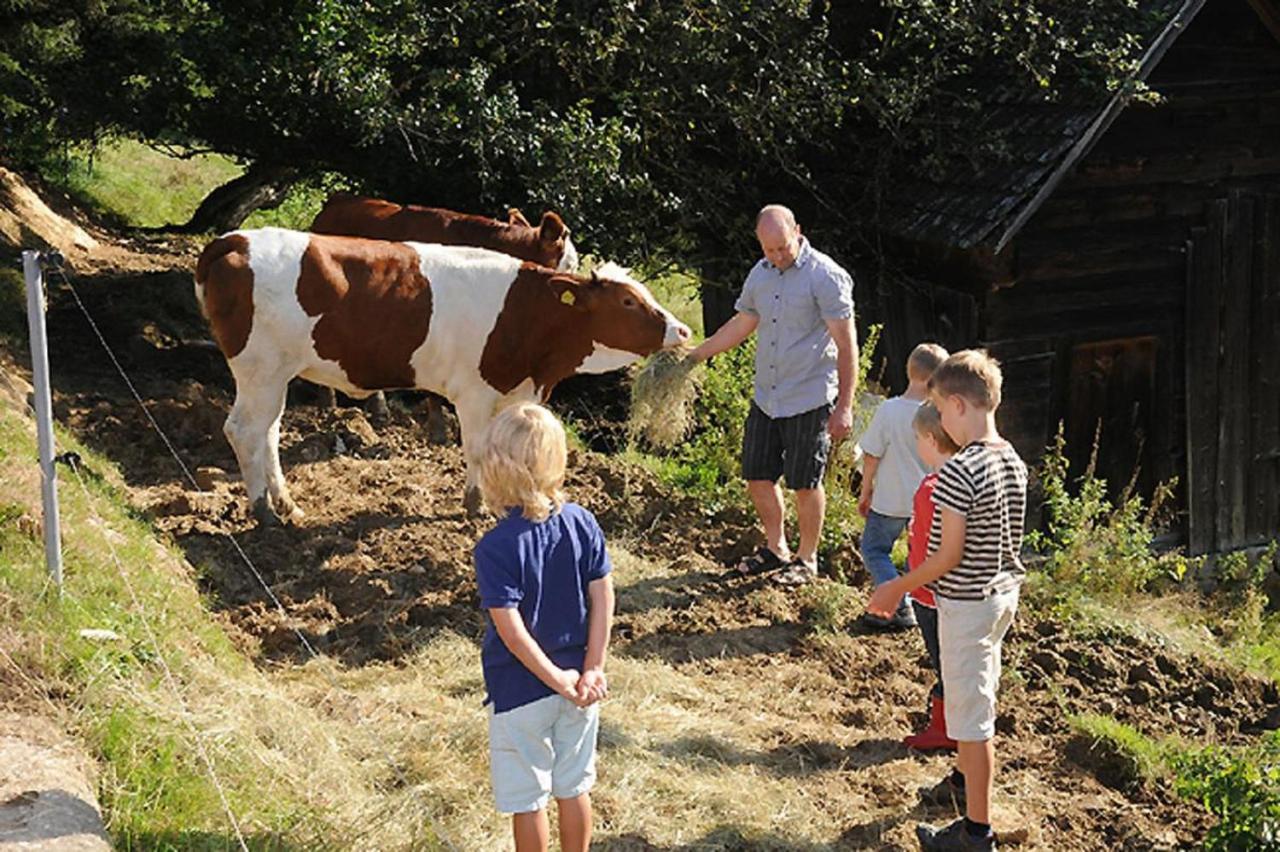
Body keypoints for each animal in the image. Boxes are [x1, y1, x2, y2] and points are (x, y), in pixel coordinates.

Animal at [193, 225, 686, 521]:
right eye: (628, 301)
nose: (681, 329)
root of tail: (234, 239)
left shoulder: (516, 393)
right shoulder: (474, 393)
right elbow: (477, 450)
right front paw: (476, 506)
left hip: (275, 373)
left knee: (268, 431)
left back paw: (286, 502)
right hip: (259, 367)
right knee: (243, 430)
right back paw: (263, 511)